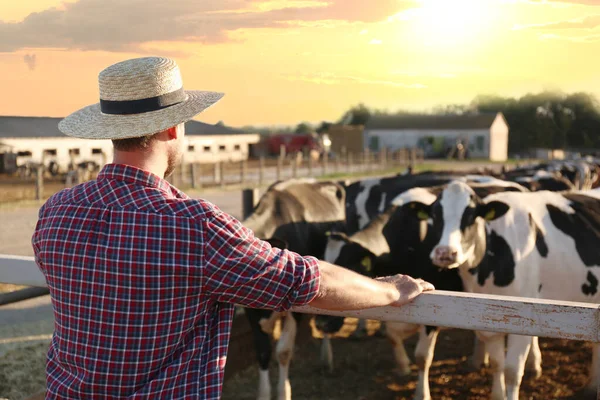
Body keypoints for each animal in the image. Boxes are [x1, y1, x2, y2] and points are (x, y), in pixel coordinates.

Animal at [318, 179, 528, 400]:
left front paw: (422, 393)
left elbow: (422, 356)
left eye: (351, 267)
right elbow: (391, 334)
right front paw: (403, 366)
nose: (321, 323)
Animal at [406, 180, 600, 400]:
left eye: (471, 216)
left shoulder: (524, 319)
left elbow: (511, 372)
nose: (445, 253)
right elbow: (497, 363)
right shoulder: (491, 320)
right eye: (435, 215)